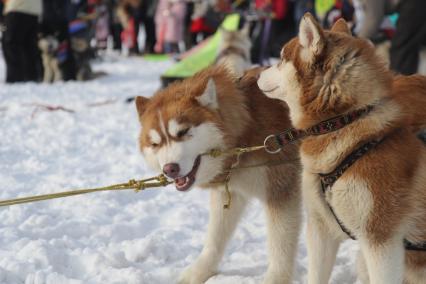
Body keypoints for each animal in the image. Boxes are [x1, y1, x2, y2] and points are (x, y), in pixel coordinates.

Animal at [136, 65, 300, 282]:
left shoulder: (281, 190)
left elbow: (280, 245)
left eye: (183, 131)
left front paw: (276, 279)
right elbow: (215, 235)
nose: (170, 169)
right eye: (155, 144)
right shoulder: (229, 192)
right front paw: (201, 271)